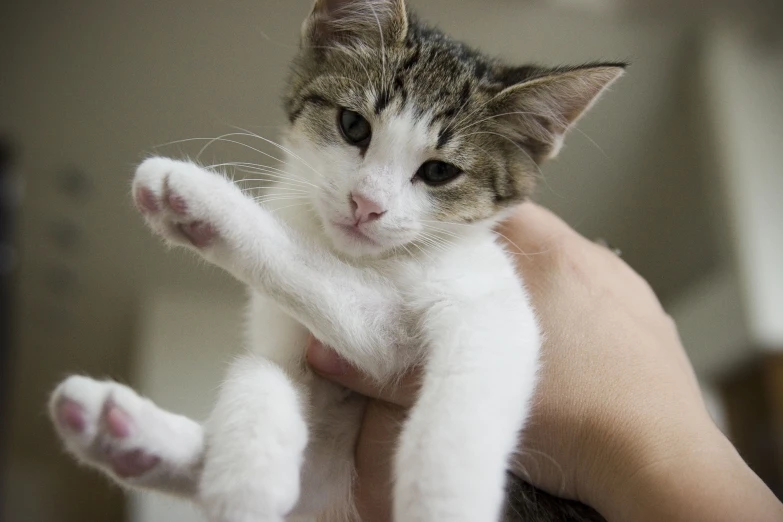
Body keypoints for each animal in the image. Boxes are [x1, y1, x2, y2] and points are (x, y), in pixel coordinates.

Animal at [49, 2, 624, 516]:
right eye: (353, 126)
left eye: (439, 172)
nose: (366, 204)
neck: (371, 260)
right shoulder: (356, 352)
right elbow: (267, 364)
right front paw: (248, 462)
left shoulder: (482, 302)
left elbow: (459, 409)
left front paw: (441, 499)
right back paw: (115, 427)